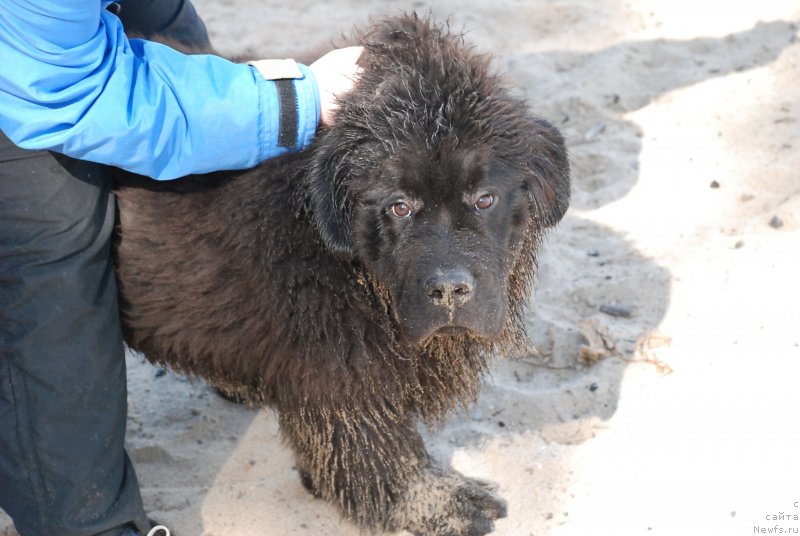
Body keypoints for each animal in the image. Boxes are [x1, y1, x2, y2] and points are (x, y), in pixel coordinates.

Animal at [114, 13, 568, 536]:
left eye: (485, 199)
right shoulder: (339, 361)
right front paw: (440, 503)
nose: (450, 289)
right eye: (399, 206)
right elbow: (380, 445)